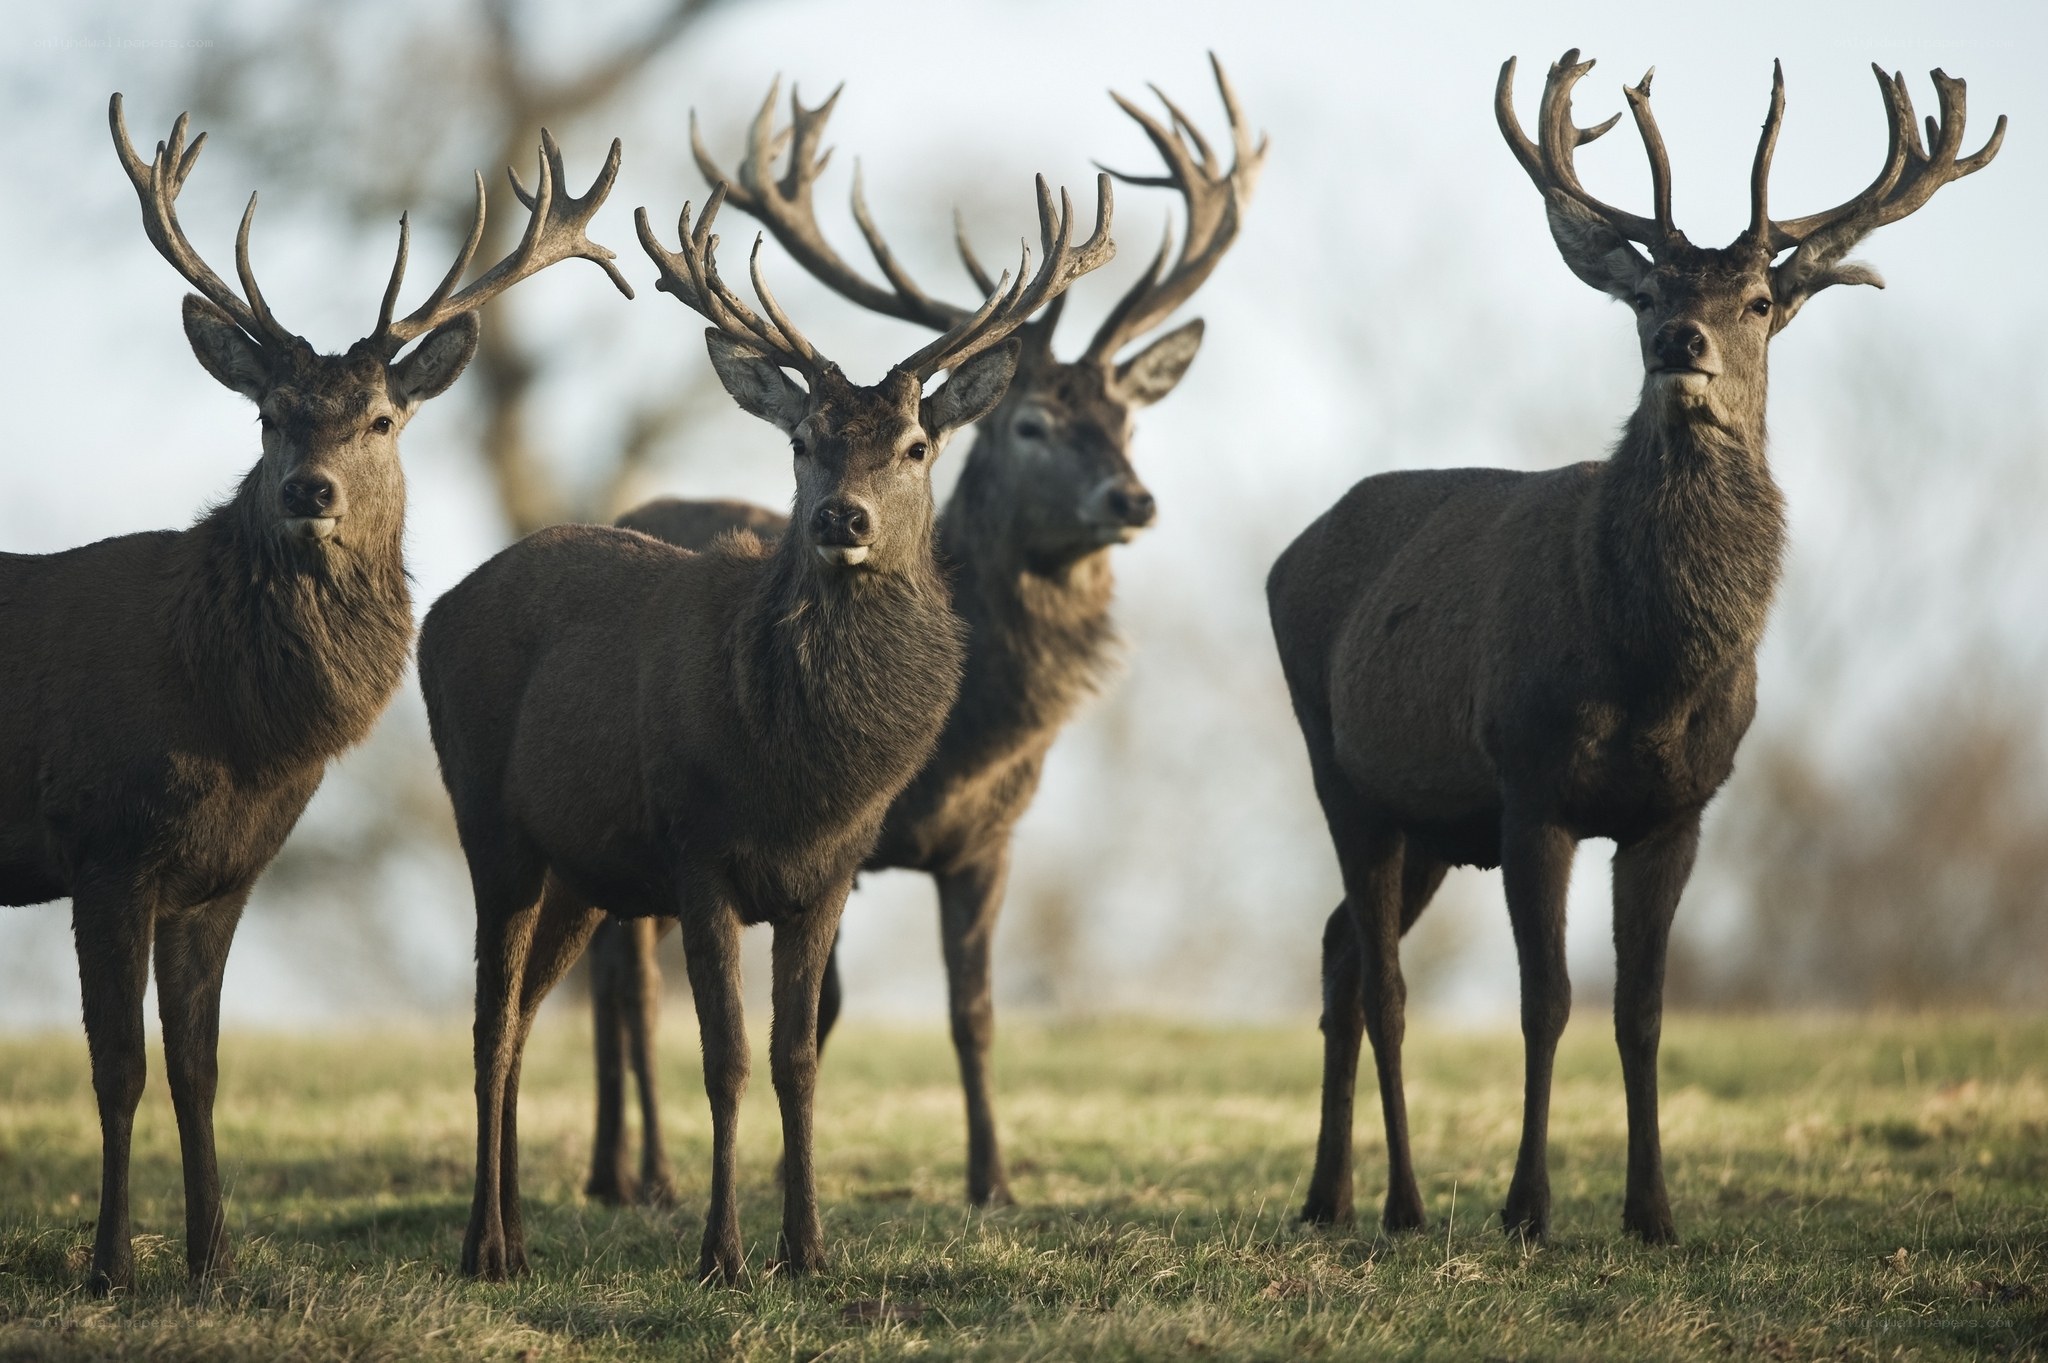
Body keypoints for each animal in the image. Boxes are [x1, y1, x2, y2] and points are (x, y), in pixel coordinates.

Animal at [0, 97, 630, 1295]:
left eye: (382, 419)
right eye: (268, 415)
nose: (309, 490)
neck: (237, 726)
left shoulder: (221, 874)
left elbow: (198, 1068)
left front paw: (210, 1261)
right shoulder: (103, 843)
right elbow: (118, 1069)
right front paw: (108, 1268)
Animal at [416, 158, 1114, 1281]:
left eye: (916, 444)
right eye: (802, 442)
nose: (843, 518)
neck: (802, 773)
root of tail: (437, 609)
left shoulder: (829, 870)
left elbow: (798, 1055)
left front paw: (810, 1249)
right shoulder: (696, 850)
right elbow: (728, 1056)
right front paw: (722, 1255)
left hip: (580, 871)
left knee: (521, 1018)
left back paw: (517, 1232)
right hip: (490, 822)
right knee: (489, 1021)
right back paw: (487, 1245)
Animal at [578, 59, 1262, 1211]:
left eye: (1127, 418)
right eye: (1029, 423)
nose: (1131, 498)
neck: (968, 743)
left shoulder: (989, 839)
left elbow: (971, 1012)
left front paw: (992, 1181)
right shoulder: (830, 842)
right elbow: (819, 1015)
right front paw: (785, 1179)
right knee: (622, 980)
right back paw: (638, 1175)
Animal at [1266, 50, 2003, 1244]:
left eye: (1758, 300)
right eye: (1649, 294)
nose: (1679, 345)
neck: (1651, 667)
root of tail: (1286, 555)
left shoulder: (1678, 807)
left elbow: (1644, 1010)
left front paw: (1652, 1210)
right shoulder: (1531, 787)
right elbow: (1546, 1002)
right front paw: (1526, 1207)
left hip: (1431, 818)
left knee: (1338, 951)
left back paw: (1326, 1196)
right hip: (1341, 767)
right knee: (1382, 981)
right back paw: (1402, 1202)